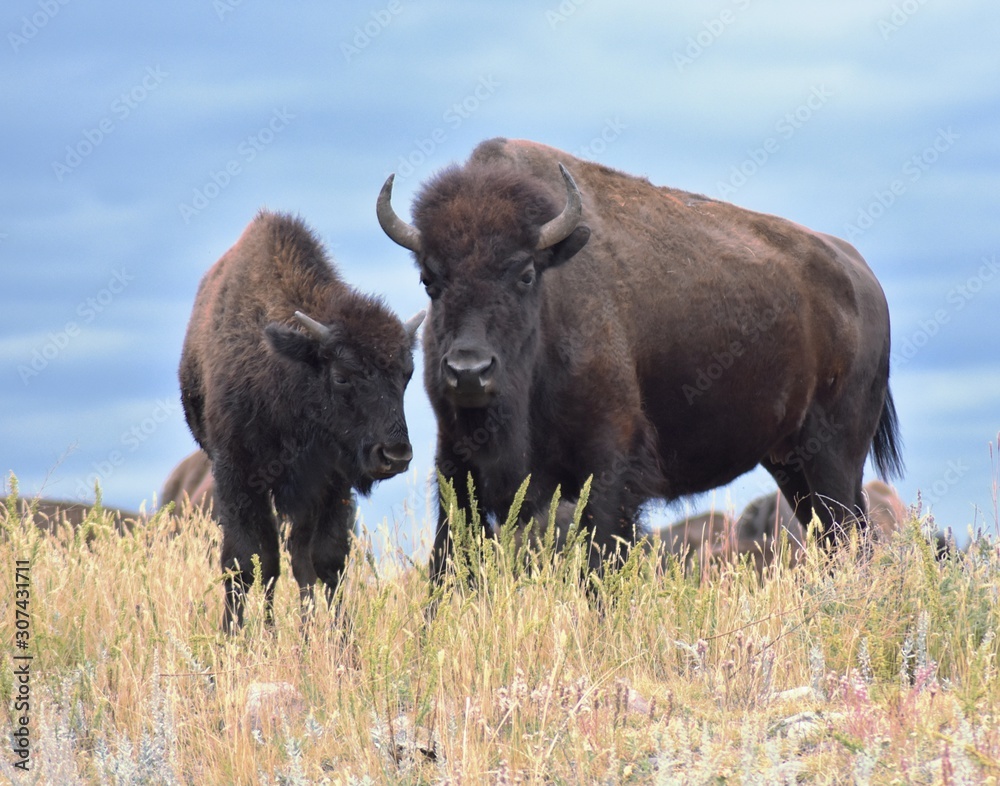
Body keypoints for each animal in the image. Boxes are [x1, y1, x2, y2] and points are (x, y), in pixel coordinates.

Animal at [182, 210, 424, 632]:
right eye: (342, 375)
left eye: (406, 373)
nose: (394, 454)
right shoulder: (237, 475)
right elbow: (245, 561)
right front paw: (234, 638)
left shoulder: (330, 484)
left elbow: (326, 561)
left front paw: (343, 643)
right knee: (269, 562)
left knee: (297, 560)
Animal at [376, 136, 908, 580]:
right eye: (429, 279)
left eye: (525, 274)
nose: (468, 372)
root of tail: (862, 278)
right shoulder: (457, 467)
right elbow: (446, 567)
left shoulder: (611, 467)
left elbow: (599, 567)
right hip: (791, 461)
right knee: (836, 538)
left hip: (834, 455)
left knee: (852, 536)